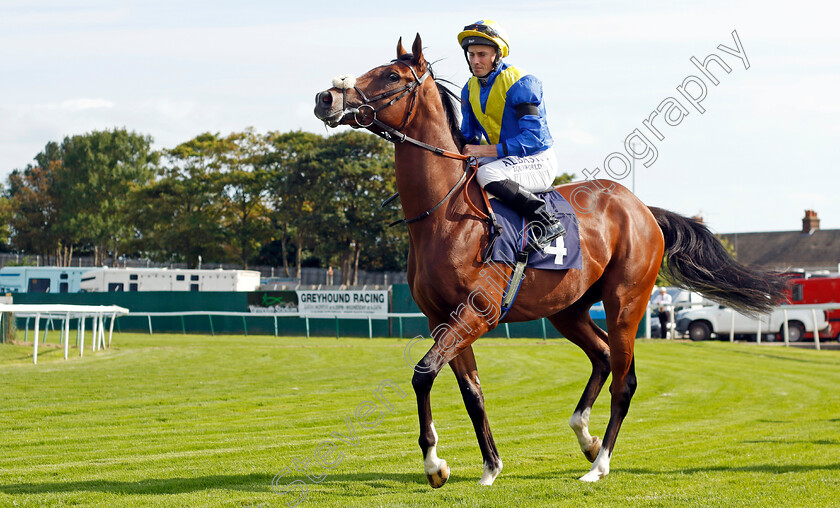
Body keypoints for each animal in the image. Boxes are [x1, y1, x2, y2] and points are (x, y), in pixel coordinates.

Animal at [314, 33, 788, 486]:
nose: (326, 97)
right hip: (569, 309)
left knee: (624, 381)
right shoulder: (441, 318)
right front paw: (488, 465)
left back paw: (599, 464)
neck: (444, 215)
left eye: (392, 76)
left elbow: (423, 372)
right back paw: (585, 436)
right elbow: (470, 391)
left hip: (626, 304)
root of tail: (643, 209)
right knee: (601, 357)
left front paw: (435, 464)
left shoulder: (476, 314)